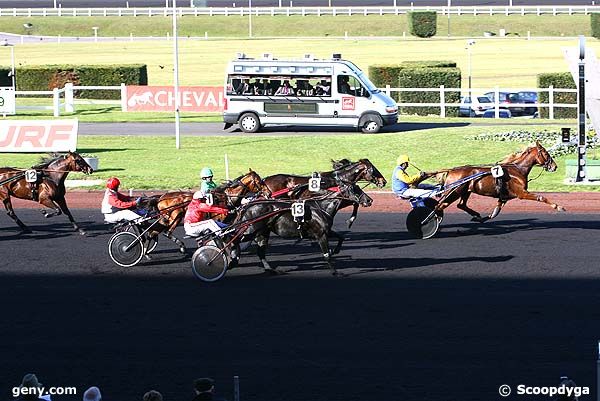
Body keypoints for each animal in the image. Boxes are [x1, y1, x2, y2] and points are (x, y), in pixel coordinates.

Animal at [233, 177, 370, 276]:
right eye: (355, 189)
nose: (369, 200)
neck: (321, 206)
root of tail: (248, 206)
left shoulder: (326, 231)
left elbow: (341, 237)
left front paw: (335, 250)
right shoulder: (320, 235)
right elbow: (326, 255)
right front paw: (336, 272)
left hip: (262, 232)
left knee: (261, 252)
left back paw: (271, 270)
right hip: (250, 230)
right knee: (234, 239)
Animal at [432, 141, 564, 222]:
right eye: (546, 153)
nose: (554, 166)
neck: (517, 170)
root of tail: (450, 171)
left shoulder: (503, 197)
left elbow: (495, 212)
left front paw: (482, 218)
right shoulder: (521, 193)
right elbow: (541, 197)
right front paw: (558, 206)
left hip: (465, 191)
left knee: (460, 205)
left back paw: (476, 215)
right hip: (454, 192)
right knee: (439, 205)